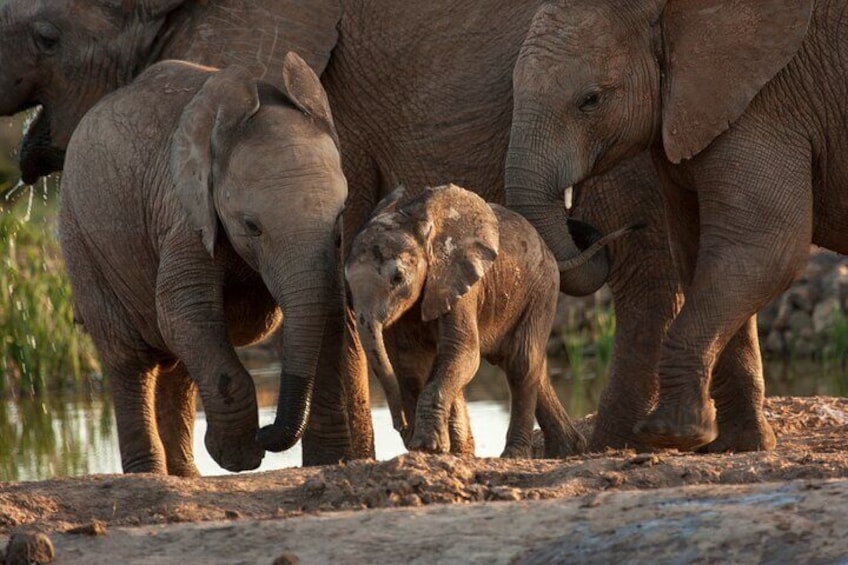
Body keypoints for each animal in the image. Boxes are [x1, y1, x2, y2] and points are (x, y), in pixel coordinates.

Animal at [58, 54, 348, 476]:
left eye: (340, 216)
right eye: (252, 226)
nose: (267, 431)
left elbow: (332, 309)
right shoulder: (185, 214)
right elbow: (183, 308)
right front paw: (239, 457)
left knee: (178, 362)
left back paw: (185, 476)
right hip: (81, 241)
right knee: (130, 359)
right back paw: (150, 475)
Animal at [344, 185, 644, 458]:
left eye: (397, 278)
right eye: (347, 282)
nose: (402, 427)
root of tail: (550, 251)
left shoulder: (461, 281)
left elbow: (463, 352)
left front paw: (427, 446)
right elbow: (411, 361)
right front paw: (436, 449)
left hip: (542, 288)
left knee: (520, 362)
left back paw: (515, 455)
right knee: (531, 365)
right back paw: (565, 451)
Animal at [504, 0, 848, 450]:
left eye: (591, 100)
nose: (584, 223)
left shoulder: (769, 102)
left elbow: (766, 253)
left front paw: (672, 433)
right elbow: (700, 255)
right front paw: (737, 444)